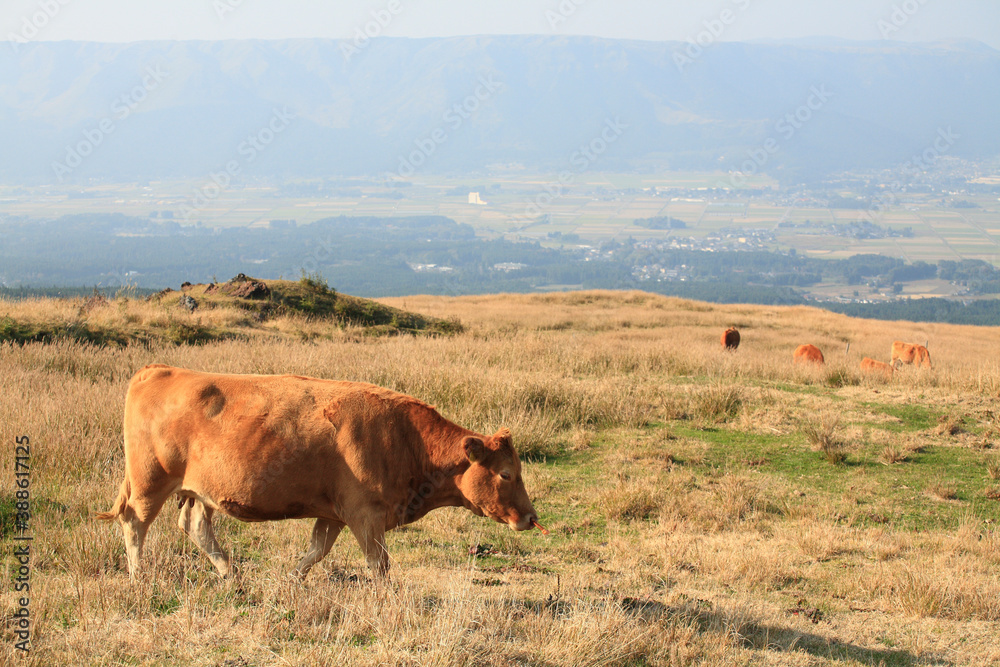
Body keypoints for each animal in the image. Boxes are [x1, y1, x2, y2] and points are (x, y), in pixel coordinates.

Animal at [97, 366, 544, 580]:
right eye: (506, 474)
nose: (530, 517)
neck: (405, 437)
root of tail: (160, 370)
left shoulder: (334, 515)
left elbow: (316, 550)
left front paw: (292, 579)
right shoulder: (365, 515)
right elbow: (379, 564)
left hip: (200, 490)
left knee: (195, 526)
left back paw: (230, 575)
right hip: (150, 482)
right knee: (135, 523)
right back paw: (139, 577)